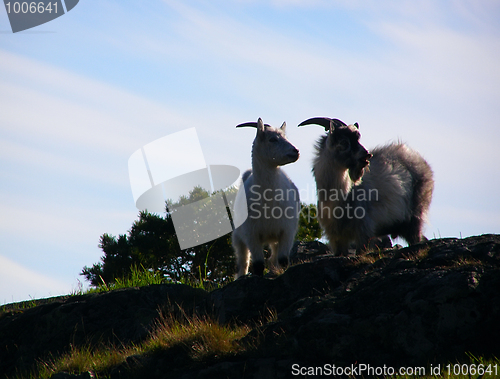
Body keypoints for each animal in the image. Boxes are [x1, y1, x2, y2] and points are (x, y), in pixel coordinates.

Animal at [231, 119, 298, 280]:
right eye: (272, 139)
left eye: (285, 137)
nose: (296, 151)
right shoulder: (251, 234)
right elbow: (258, 264)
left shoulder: (287, 231)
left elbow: (283, 260)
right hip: (237, 236)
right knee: (243, 261)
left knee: (274, 257)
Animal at [296, 117, 434, 256]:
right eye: (344, 142)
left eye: (358, 139)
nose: (366, 155)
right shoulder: (337, 237)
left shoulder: (363, 230)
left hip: (416, 215)